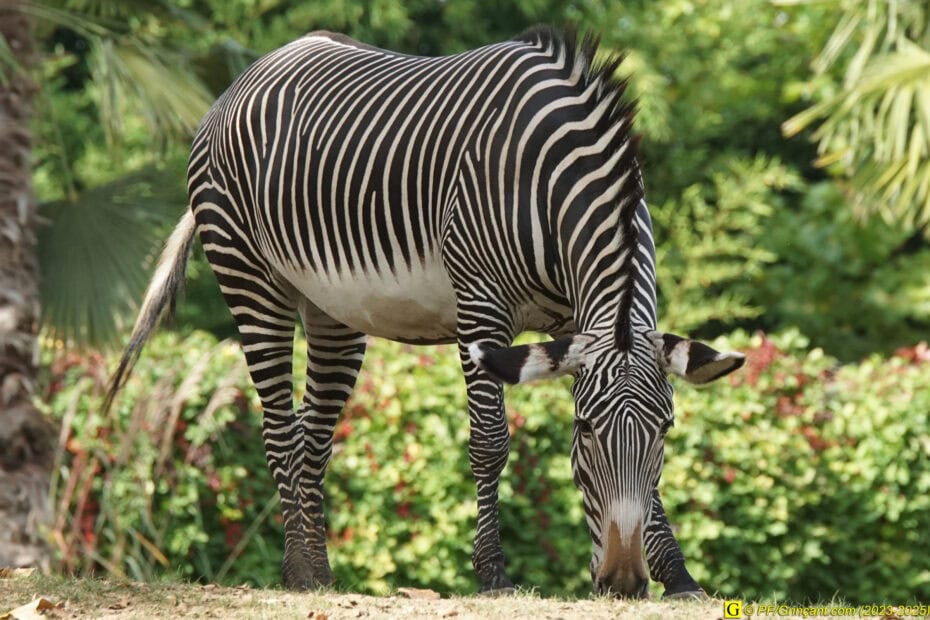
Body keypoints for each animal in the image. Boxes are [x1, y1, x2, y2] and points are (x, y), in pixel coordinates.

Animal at [105, 26, 744, 600]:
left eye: (666, 431)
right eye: (584, 431)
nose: (624, 583)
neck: (549, 186)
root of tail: (249, 76)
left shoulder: (574, 327)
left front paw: (678, 576)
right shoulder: (481, 308)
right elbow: (490, 442)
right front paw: (492, 575)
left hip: (334, 311)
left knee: (313, 436)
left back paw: (318, 573)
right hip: (249, 275)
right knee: (279, 429)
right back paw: (301, 572)